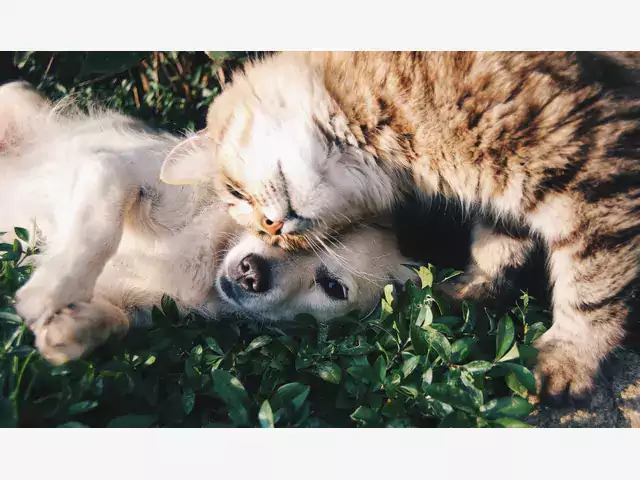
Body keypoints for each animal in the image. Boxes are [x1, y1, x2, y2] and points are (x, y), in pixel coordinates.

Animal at [0, 82, 418, 366]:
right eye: (271, 222)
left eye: (333, 287)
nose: (252, 273)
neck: (209, 254)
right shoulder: (112, 169)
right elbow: (100, 229)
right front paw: (51, 291)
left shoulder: (135, 305)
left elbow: (116, 321)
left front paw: (70, 329)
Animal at [159, 51, 640, 404]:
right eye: (265, 230)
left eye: (235, 193)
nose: (274, 226)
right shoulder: (508, 192)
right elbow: (496, 247)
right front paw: (470, 290)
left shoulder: (592, 171)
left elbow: (592, 288)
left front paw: (568, 359)